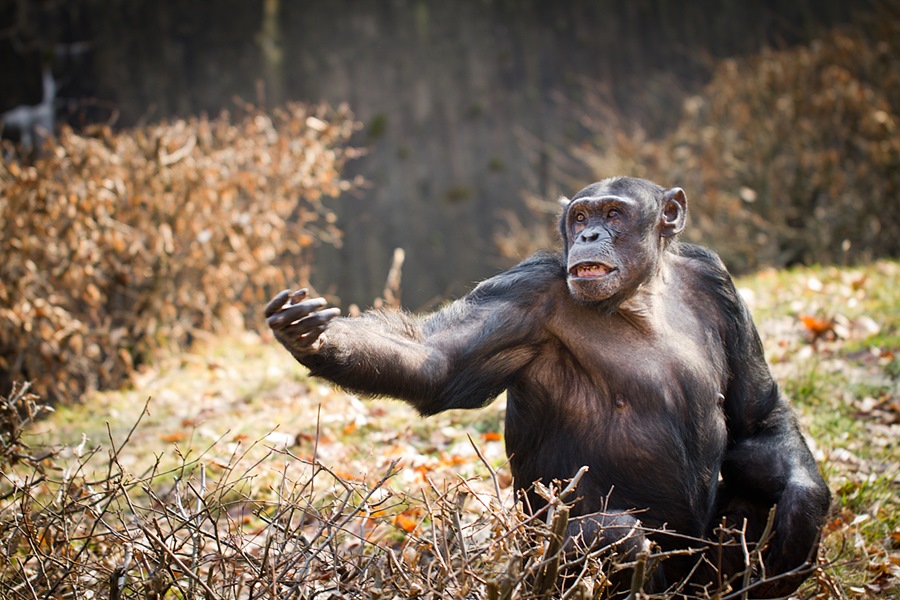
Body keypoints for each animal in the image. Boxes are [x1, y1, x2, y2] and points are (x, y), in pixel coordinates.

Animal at [266, 176, 828, 596]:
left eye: (613, 215)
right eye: (580, 217)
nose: (589, 237)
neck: (639, 297)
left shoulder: (718, 281)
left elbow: (755, 415)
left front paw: (803, 511)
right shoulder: (525, 292)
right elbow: (436, 359)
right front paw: (314, 337)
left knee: (752, 488)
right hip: (538, 566)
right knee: (616, 535)